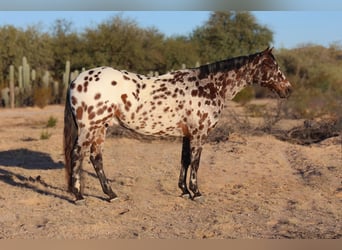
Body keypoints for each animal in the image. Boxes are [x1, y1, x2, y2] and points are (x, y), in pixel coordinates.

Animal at [63, 47, 292, 203]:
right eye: (271, 66)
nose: (288, 89)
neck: (210, 85)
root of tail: (76, 80)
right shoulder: (199, 134)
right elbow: (196, 162)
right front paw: (196, 193)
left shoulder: (187, 134)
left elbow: (184, 160)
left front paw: (183, 190)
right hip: (89, 128)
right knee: (77, 154)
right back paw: (79, 196)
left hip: (100, 128)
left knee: (95, 158)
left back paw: (111, 195)